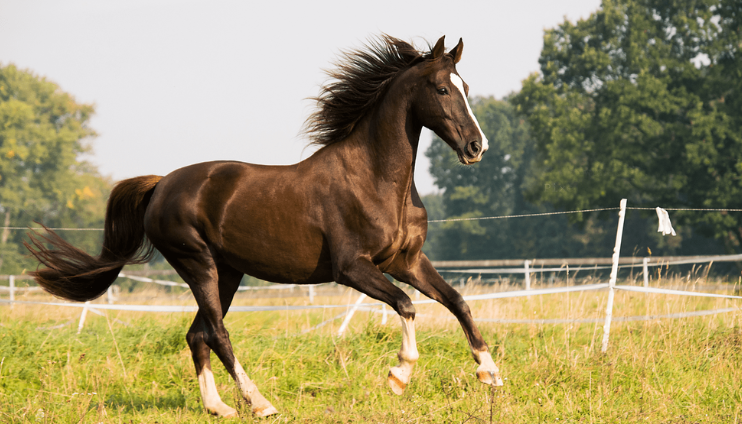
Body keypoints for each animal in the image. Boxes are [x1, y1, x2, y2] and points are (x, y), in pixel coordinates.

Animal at [26, 34, 503, 418]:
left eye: (466, 87)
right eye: (442, 88)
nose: (476, 147)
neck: (375, 180)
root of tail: (161, 184)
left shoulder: (406, 261)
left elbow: (457, 301)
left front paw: (490, 372)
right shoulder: (353, 268)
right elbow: (406, 305)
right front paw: (399, 376)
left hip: (228, 272)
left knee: (197, 334)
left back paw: (218, 407)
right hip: (197, 264)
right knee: (217, 332)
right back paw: (260, 403)